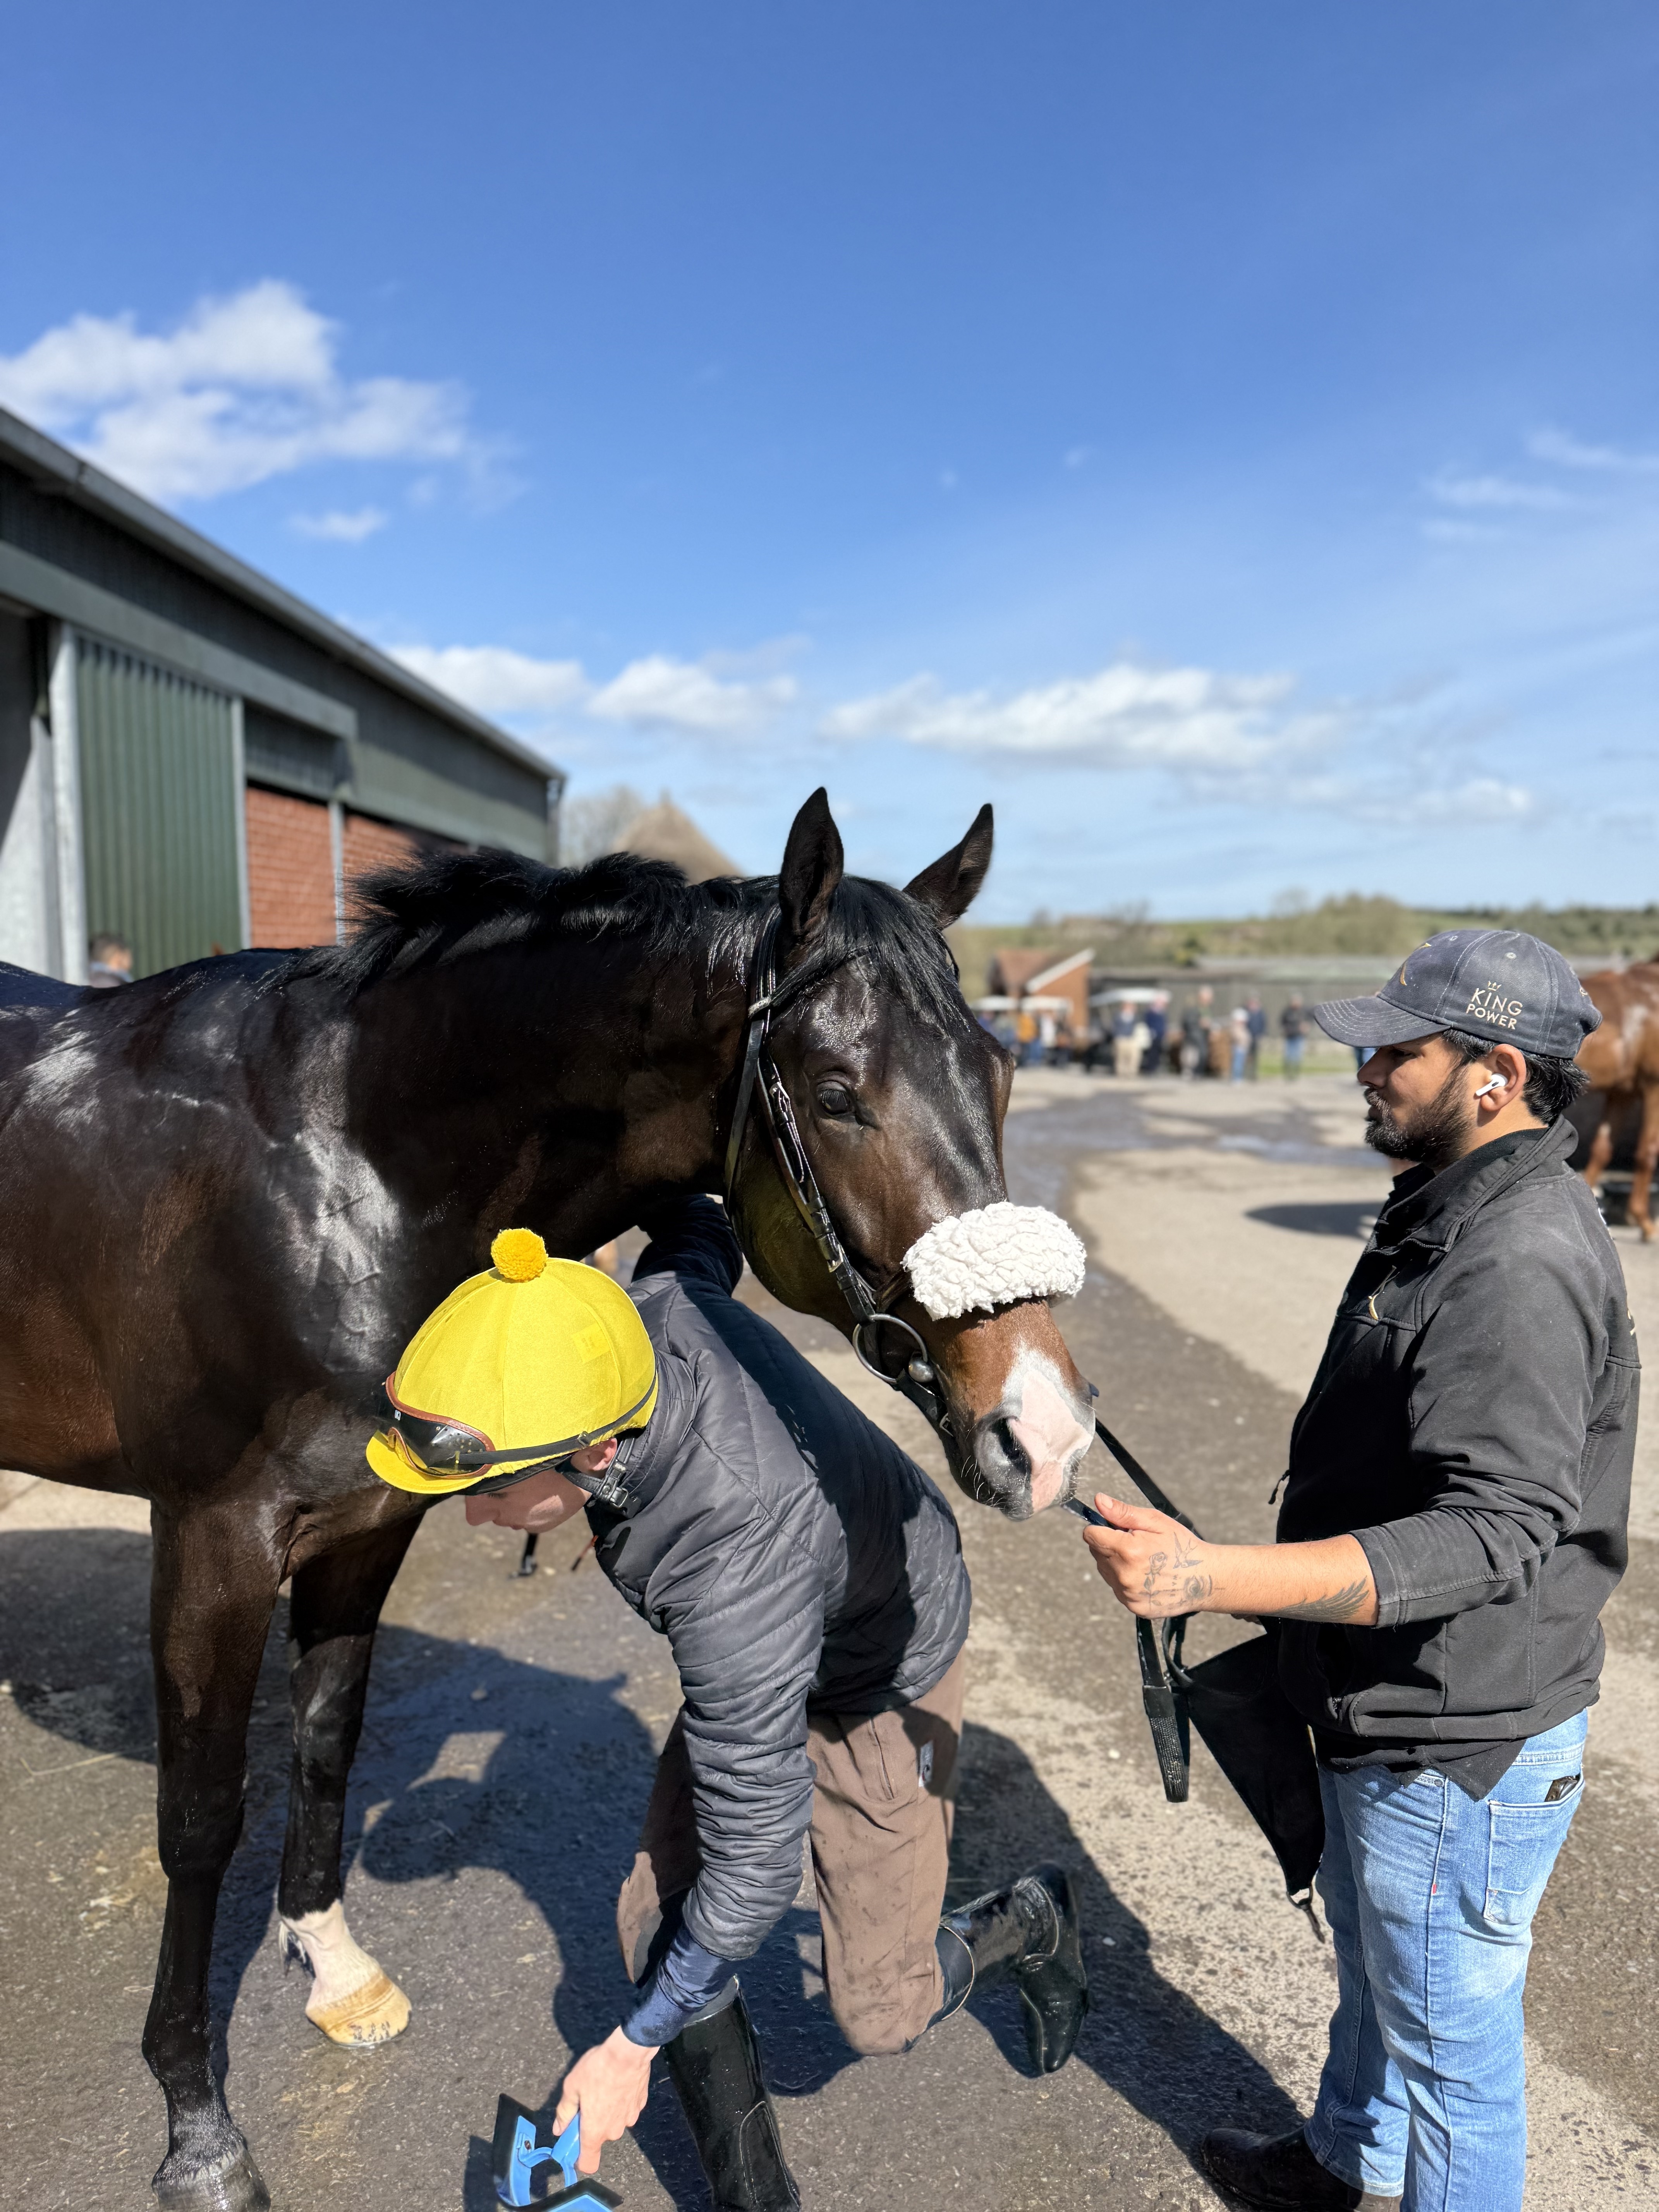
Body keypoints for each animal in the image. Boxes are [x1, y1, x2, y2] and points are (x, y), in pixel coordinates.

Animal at [0, 787, 1095, 2212]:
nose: (1045, 1430)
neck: (342, 1168)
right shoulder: (213, 1544)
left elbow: (326, 1740)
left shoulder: (362, 1527)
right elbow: (198, 1823)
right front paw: (199, 2128)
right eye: (837, 1094)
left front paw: (335, 1971)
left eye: (1000, 1071)